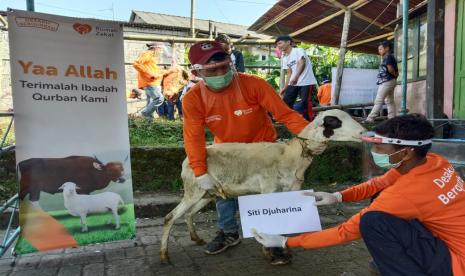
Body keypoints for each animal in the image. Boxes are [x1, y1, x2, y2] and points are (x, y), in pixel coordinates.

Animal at [160, 109, 366, 262]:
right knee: (170, 217)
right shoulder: (268, 190)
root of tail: (187, 160)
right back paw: (164, 256)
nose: (363, 132)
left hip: (208, 193)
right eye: (334, 121)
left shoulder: (290, 190)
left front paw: (280, 248)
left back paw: (196, 238)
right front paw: (270, 250)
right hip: (194, 189)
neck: (291, 156)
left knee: (188, 213)